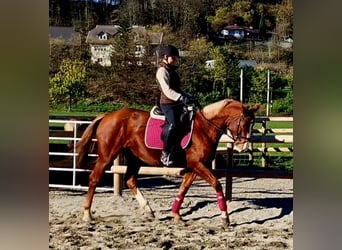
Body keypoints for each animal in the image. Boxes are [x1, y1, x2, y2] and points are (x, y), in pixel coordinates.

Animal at [76, 99, 260, 227]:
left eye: (252, 124)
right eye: (244, 122)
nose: (243, 146)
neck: (204, 128)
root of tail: (107, 116)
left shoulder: (193, 168)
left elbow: (183, 189)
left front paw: (176, 215)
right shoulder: (199, 165)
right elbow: (216, 184)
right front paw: (225, 218)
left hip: (134, 158)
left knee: (130, 180)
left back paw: (148, 210)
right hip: (107, 156)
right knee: (94, 178)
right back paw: (87, 214)